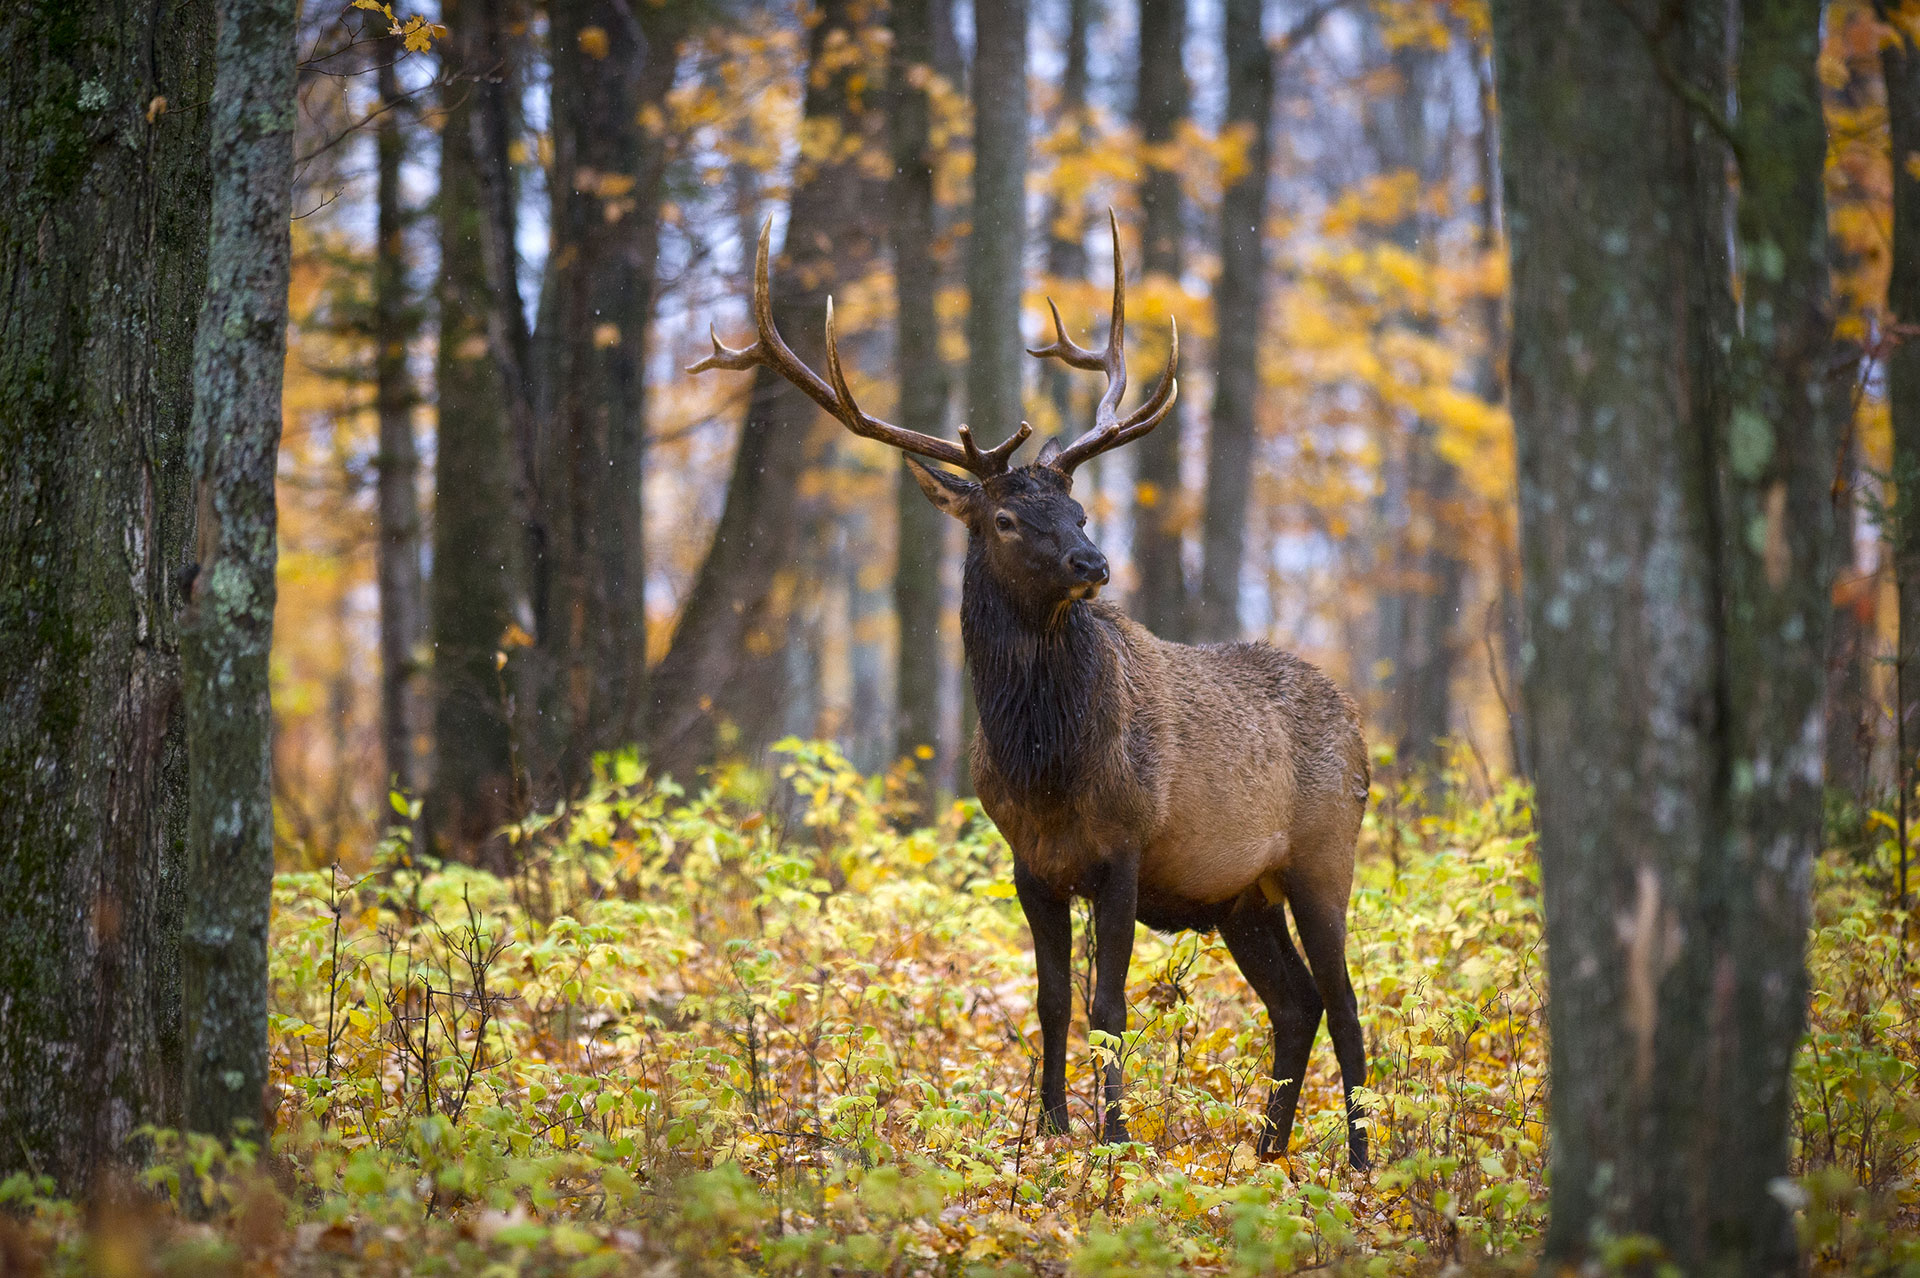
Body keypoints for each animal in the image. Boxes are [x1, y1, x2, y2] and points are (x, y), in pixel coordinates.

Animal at [689, 212, 1372, 1170]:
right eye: (1007, 518)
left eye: (1078, 511)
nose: (1095, 562)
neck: (1046, 769)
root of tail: (1359, 727)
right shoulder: (1028, 863)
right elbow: (1050, 1001)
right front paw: (1047, 1131)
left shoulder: (1126, 846)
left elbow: (1108, 1006)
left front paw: (1115, 1140)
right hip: (1242, 895)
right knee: (1297, 1002)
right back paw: (1267, 1152)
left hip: (1324, 854)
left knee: (1345, 1004)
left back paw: (1361, 1161)